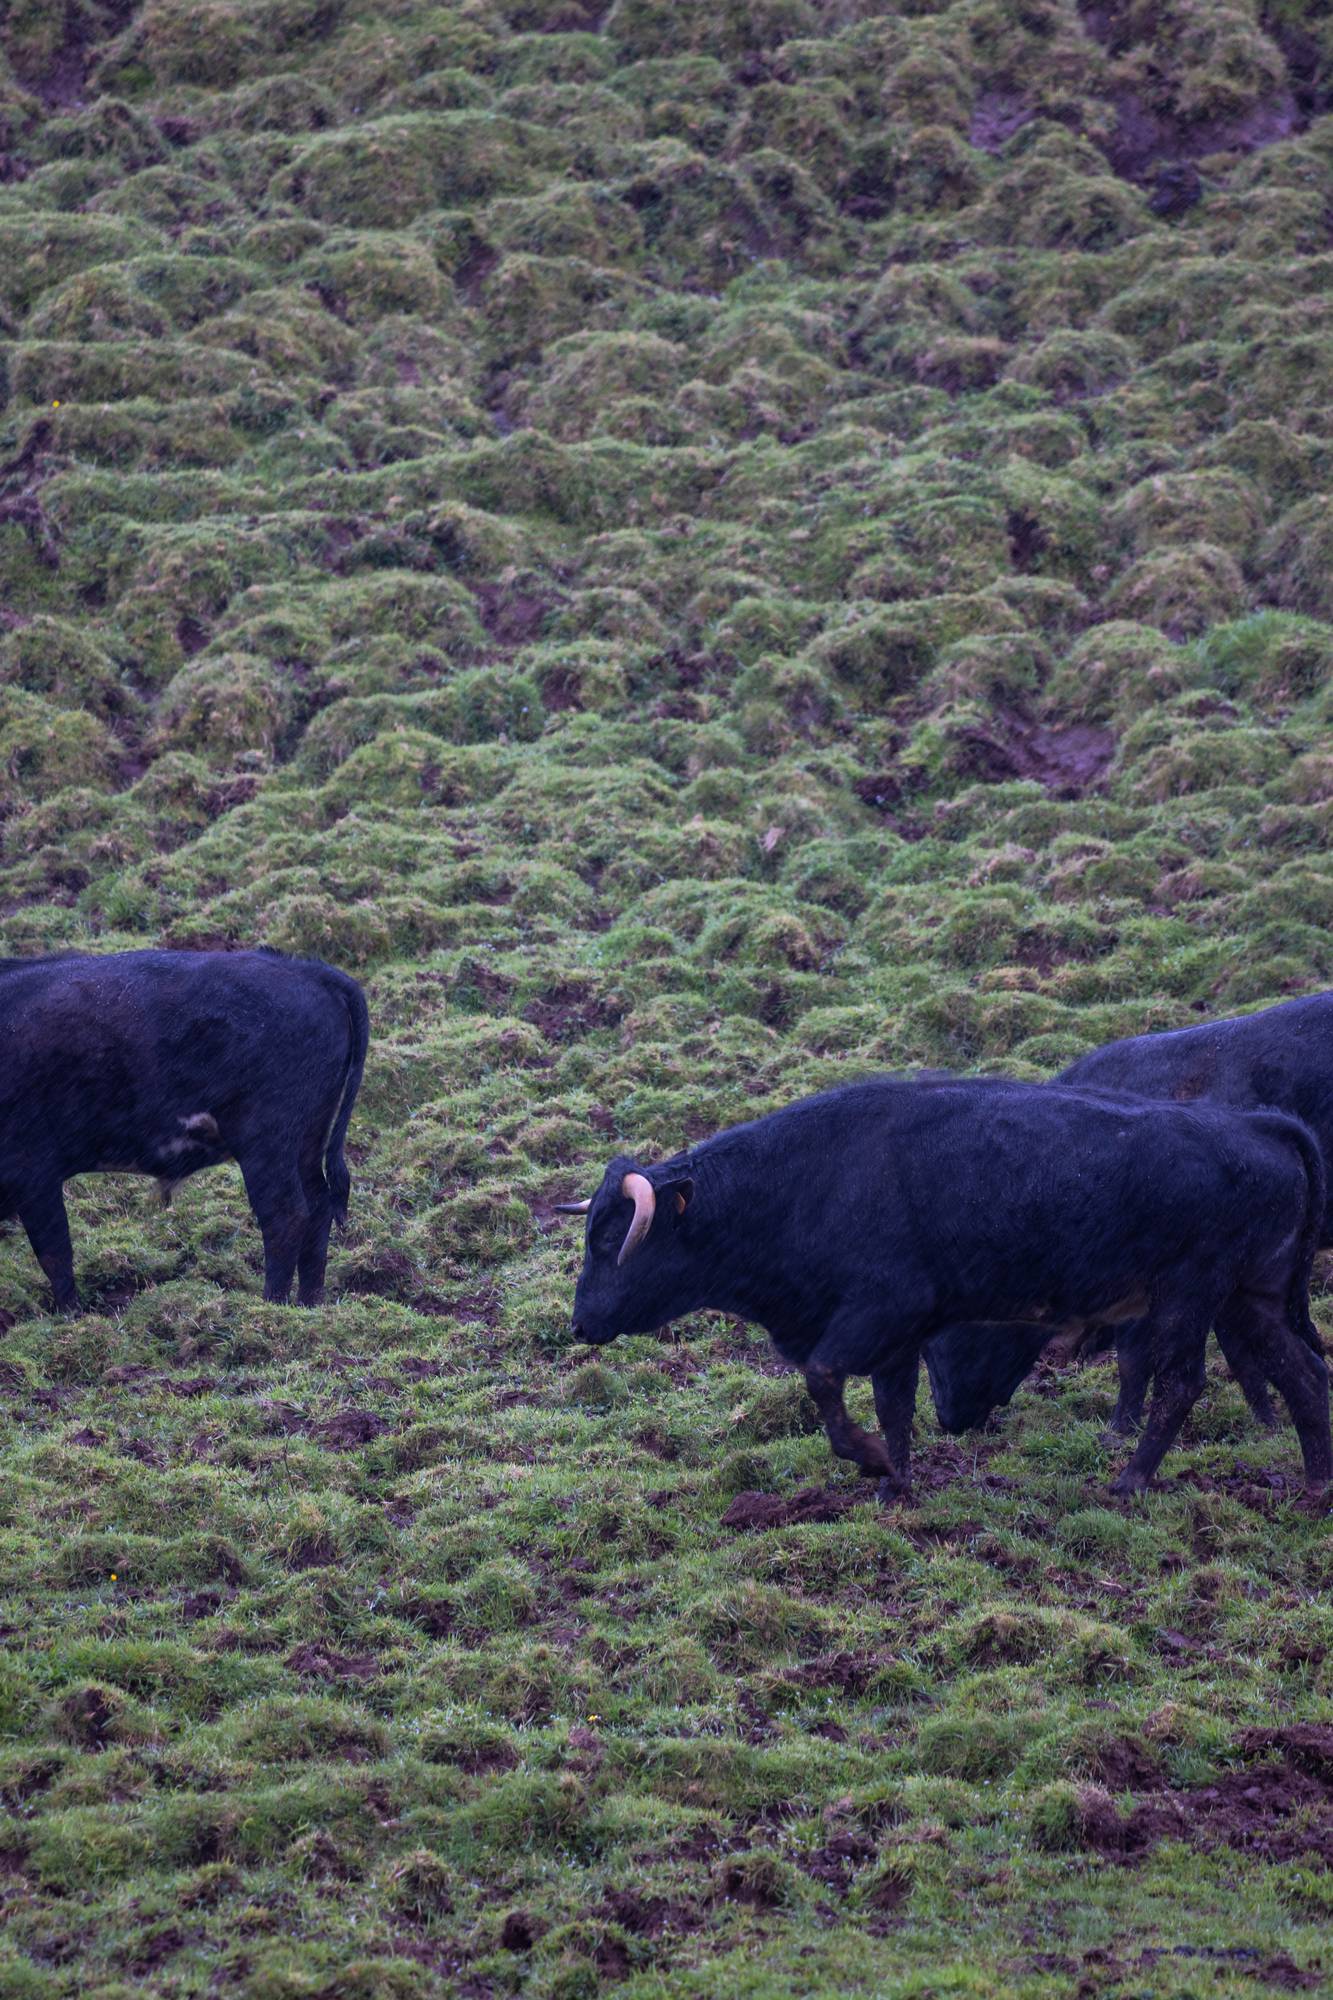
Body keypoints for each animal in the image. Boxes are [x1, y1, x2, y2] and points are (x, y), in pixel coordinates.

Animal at [0, 949, 368, 1310]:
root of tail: (306, 970)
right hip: (308, 1139)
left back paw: (270, 1305)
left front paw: (70, 1316)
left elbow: (55, 1254)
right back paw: (308, 1305)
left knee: (285, 1215)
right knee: (318, 1207)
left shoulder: (34, 1174)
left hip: (267, 1143)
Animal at [557, 1076, 1331, 1505]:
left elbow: (825, 1381)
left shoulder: (875, 1315)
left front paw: (871, 1462)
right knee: (1301, 1375)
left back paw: (1130, 1482)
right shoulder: (897, 1338)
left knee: (1182, 1383)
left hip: (1187, 1298)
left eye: (615, 1239)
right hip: (1250, 1299)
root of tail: (1255, 1125)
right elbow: (892, 1406)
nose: (581, 1323)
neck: (804, 1183)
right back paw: (1315, 1487)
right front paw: (894, 1484)